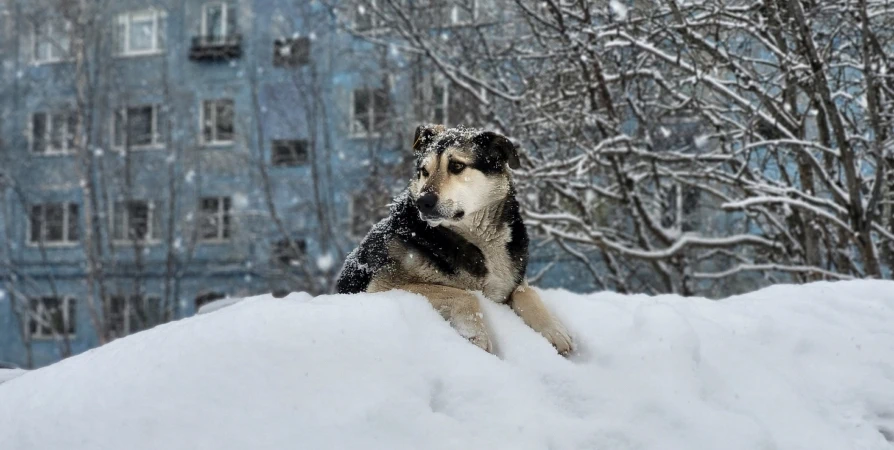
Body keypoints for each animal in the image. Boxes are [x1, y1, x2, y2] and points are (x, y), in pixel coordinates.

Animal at [336, 124, 576, 356]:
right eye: (424, 171)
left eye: (457, 166)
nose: (423, 202)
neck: (480, 240)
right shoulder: (381, 288)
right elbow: (465, 294)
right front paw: (476, 335)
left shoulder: (510, 283)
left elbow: (527, 292)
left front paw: (553, 330)